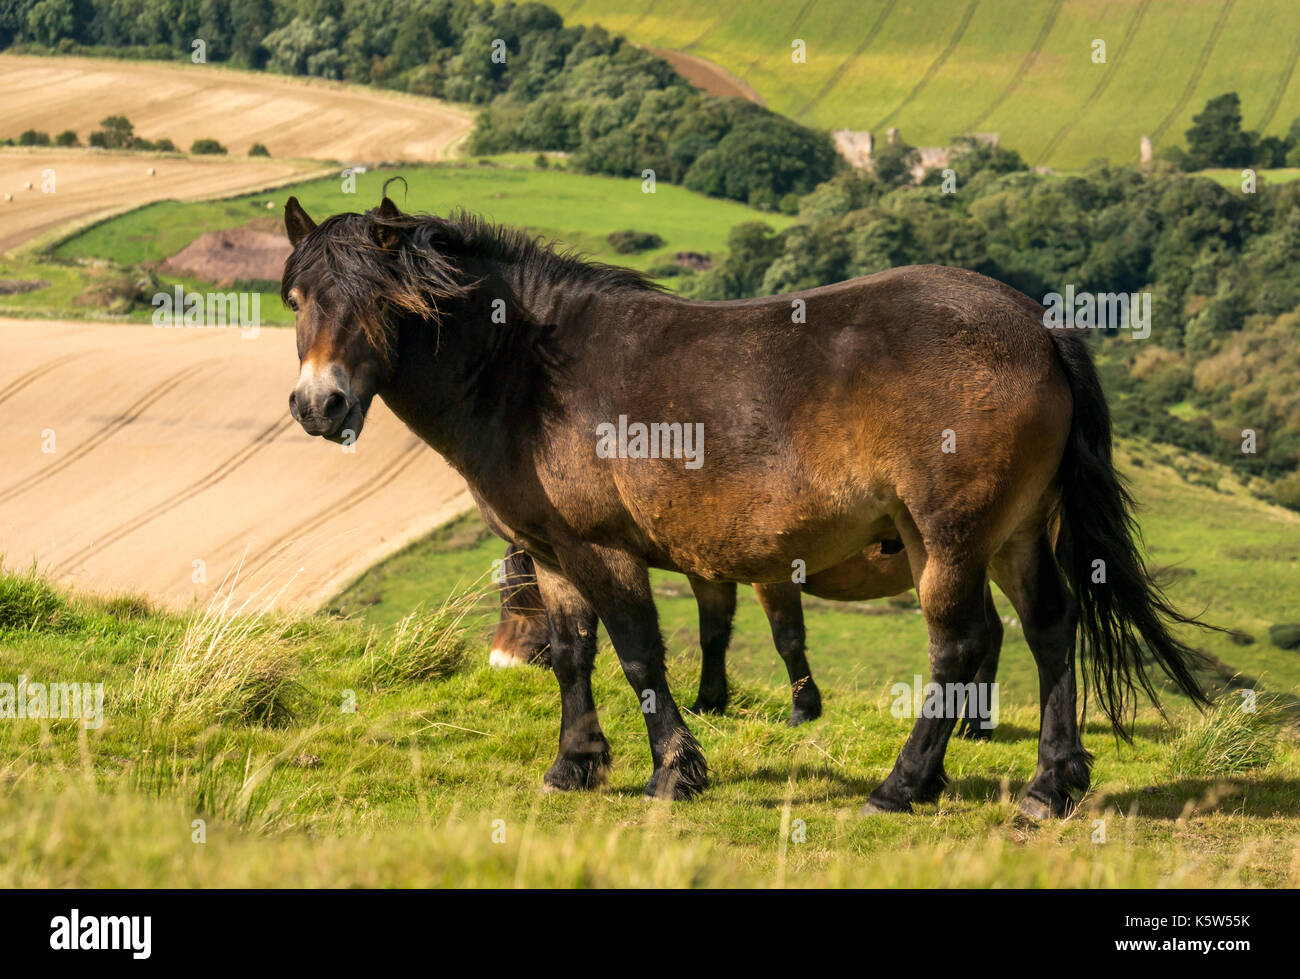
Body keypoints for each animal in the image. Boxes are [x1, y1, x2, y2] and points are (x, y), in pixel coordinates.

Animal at [490, 541, 1003, 735]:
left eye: (525, 589)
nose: (499, 662)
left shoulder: (775, 576)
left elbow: (787, 638)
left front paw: (804, 709)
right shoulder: (706, 574)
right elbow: (713, 635)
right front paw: (710, 701)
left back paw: (972, 725)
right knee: (993, 632)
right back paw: (974, 721)